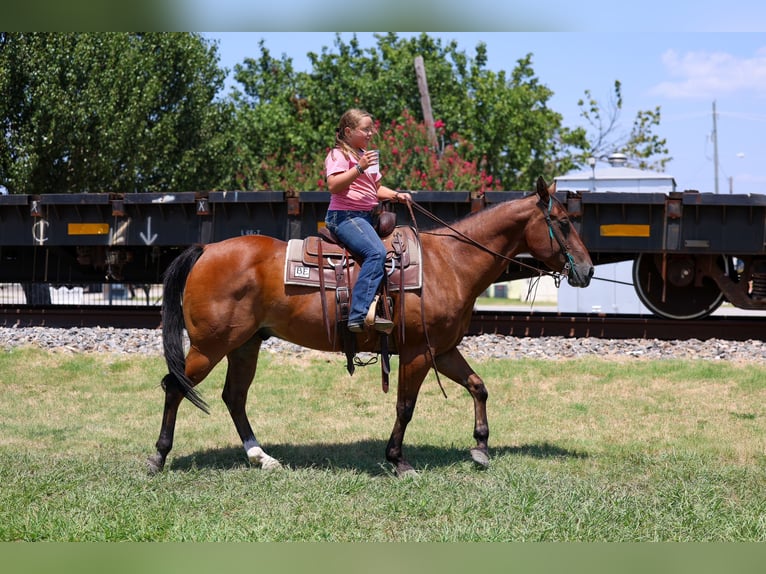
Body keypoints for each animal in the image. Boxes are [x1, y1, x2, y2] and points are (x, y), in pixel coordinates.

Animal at [147, 176, 594, 476]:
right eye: (561, 222)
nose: (588, 270)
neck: (450, 262)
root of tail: (206, 249)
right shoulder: (417, 352)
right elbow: (405, 406)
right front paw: (398, 460)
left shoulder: (442, 349)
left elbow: (478, 385)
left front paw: (481, 446)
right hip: (210, 346)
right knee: (175, 387)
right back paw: (158, 456)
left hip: (244, 345)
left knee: (233, 397)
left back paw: (261, 457)